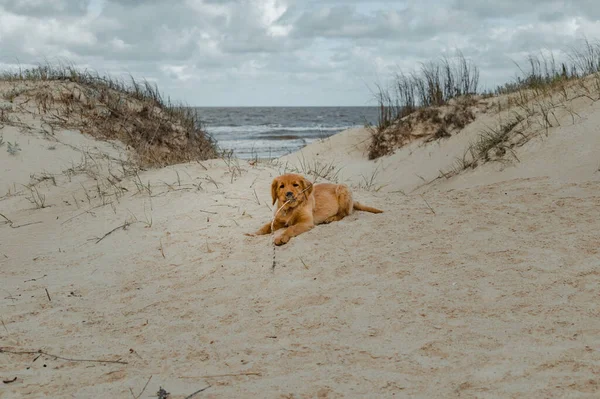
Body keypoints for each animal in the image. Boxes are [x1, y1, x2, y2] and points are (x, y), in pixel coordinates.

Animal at [246, 173, 382, 245]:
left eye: (295, 185)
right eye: (281, 186)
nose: (289, 194)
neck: (290, 209)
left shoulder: (306, 222)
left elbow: (291, 228)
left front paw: (280, 237)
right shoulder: (277, 221)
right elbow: (265, 227)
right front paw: (253, 233)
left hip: (342, 188)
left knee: (344, 214)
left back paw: (331, 218)